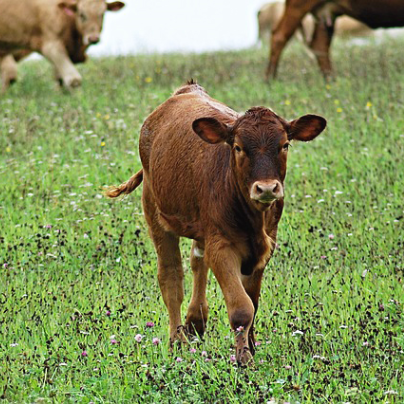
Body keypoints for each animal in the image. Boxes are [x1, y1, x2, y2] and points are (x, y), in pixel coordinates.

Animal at [105, 80, 326, 364]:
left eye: (285, 145)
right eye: (238, 147)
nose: (266, 188)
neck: (253, 220)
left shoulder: (265, 246)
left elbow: (253, 301)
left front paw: (250, 346)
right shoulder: (222, 246)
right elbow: (242, 307)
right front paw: (244, 358)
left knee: (197, 261)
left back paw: (195, 321)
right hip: (155, 210)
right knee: (171, 276)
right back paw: (177, 340)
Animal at [266, 0, 404, 79]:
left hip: (326, 13)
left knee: (320, 44)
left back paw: (331, 82)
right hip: (298, 6)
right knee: (279, 36)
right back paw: (270, 80)